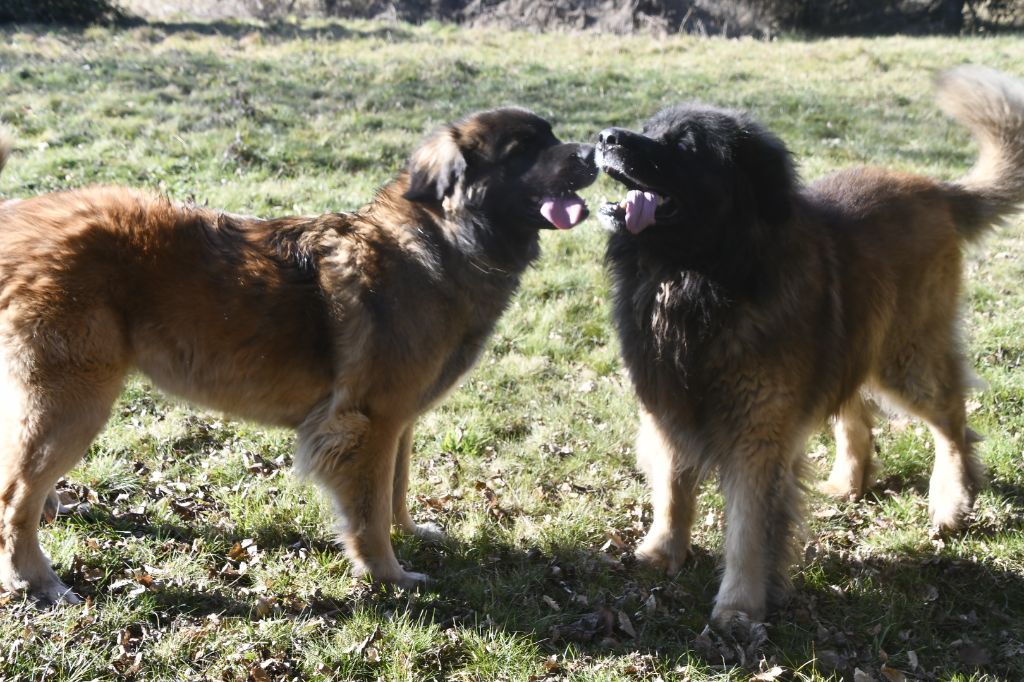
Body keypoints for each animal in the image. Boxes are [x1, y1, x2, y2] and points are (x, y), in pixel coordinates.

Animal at [0, 109, 598, 602]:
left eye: (552, 137)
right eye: (524, 148)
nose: (596, 150)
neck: (442, 240)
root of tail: (21, 220)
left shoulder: (400, 420)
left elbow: (398, 488)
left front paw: (413, 534)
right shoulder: (367, 422)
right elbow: (370, 510)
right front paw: (390, 575)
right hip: (76, 399)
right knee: (14, 494)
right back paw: (39, 580)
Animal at [598, 67, 1024, 626]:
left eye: (684, 144)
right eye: (648, 128)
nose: (605, 138)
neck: (698, 278)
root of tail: (933, 187)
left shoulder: (756, 435)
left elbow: (748, 529)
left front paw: (738, 608)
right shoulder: (667, 407)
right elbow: (672, 488)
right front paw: (662, 552)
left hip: (907, 359)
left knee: (952, 421)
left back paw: (951, 499)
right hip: (850, 343)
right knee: (856, 414)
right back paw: (848, 483)